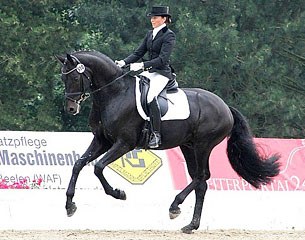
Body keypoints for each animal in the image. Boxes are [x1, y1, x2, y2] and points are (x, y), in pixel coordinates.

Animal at [55, 50, 280, 232]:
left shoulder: (124, 143)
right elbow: (78, 164)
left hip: (203, 145)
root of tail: (225, 106)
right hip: (188, 146)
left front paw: (119, 193)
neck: (115, 93)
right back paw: (191, 224)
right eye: (63, 77)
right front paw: (69, 206)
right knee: (200, 181)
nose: (71, 109)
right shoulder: (102, 140)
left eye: (74, 76)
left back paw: (175, 207)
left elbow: (98, 167)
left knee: (202, 176)